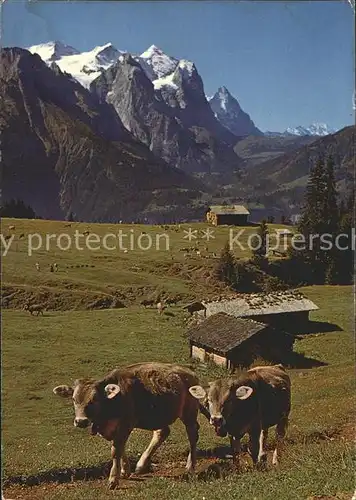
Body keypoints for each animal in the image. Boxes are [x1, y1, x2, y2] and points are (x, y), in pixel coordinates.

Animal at [54, 362, 202, 490]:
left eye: (94, 399)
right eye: (74, 399)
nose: (81, 421)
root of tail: (189, 372)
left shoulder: (126, 424)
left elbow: (116, 450)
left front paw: (113, 479)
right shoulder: (114, 429)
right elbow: (120, 447)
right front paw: (125, 470)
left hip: (189, 412)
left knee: (192, 435)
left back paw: (190, 467)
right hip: (160, 416)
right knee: (162, 432)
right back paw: (141, 464)